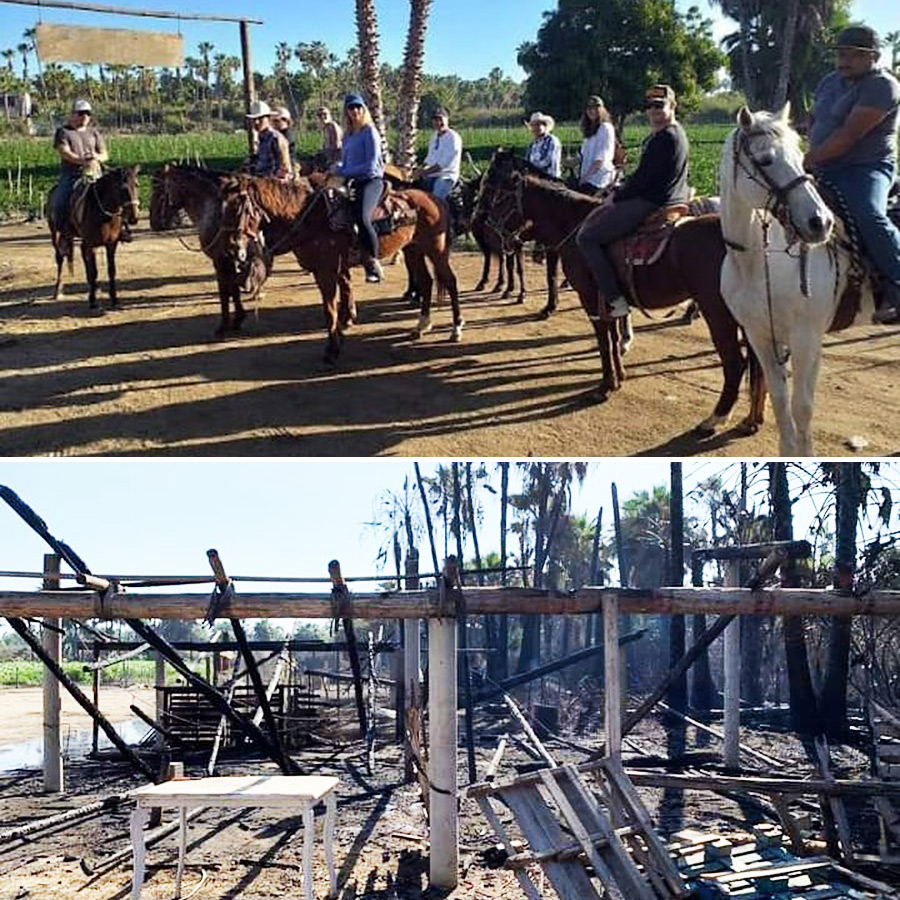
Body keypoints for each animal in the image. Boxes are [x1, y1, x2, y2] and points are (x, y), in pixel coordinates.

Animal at [47, 167, 139, 312]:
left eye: (136, 185)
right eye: (123, 188)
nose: (134, 217)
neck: (104, 215)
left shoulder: (111, 244)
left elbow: (111, 270)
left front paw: (114, 299)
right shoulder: (92, 244)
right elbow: (94, 271)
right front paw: (93, 301)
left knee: (82, 256)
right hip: (55, 233)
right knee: (60, 258)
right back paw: (58, 290)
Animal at [221, 176, 460, 362]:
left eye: (238, 209)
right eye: (225, 209)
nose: (231, 246)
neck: (311, 220)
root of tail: (435, 199)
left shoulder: (326, 271)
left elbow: (330, 309)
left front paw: (332, 349)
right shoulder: (329, 270)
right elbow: (340, 300)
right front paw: (340, 336)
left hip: (435, 249)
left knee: (450, 281)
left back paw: (456, 329)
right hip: (414, 249)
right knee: (427, 282)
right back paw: (422, 325)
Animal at [474, 149, 764, 436]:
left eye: (496, 194)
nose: (484, 223)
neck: (575, 224)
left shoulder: (590, 297)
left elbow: (603, 340)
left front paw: (605, 386)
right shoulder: (610, 298)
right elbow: (613, 337)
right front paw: (619, 377)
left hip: (717, 312)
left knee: (735, 363)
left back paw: (715, 418)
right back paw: (751, 420)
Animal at [720, 105, 876, 458]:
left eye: (800, 157)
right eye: (765, 160)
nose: (821, 223)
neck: (759, 261)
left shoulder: (806, 337)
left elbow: (802, 406)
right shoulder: (761, 336)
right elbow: (781, 401)